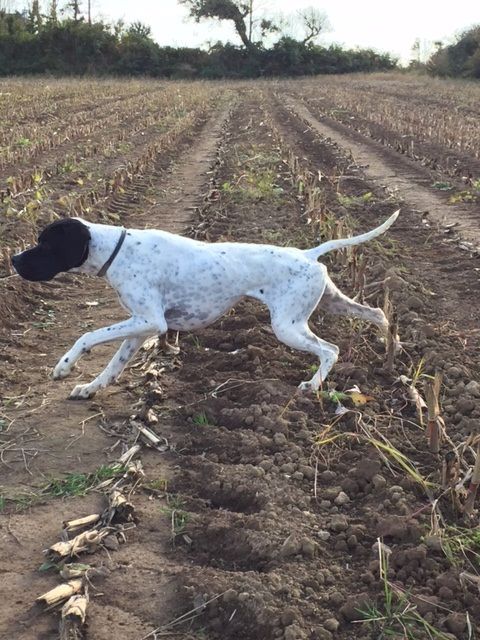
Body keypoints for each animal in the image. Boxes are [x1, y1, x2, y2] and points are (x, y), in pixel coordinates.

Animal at [12, 212, 398, 398]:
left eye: (45, 245)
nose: (14, 260)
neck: (117, 251)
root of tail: (308, 253)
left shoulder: (151, 322)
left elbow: (88, 336)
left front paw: (64, 367)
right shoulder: (139, 326)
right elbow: (113, 366)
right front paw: (90, 388)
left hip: (287, 327)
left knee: (330, 350)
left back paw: (313, 386)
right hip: (330, 303)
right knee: (377, 313)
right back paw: (389, 351)